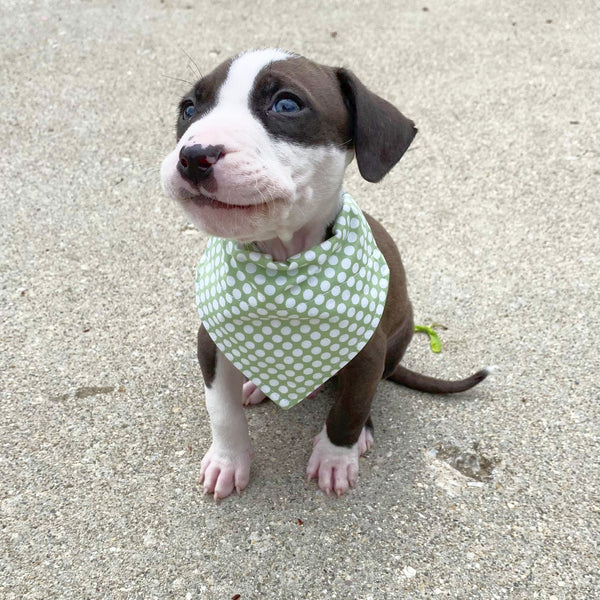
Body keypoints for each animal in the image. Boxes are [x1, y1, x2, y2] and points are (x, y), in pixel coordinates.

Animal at [162, 50, 490, 502]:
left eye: (286, 104)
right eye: (189, 109)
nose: (194, 155)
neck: (282, 265)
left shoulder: (367, 352)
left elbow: (350, 408)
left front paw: (335, 458)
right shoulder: (211, 341)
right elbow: (222, 411)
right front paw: (228, 462)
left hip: (397, 338)